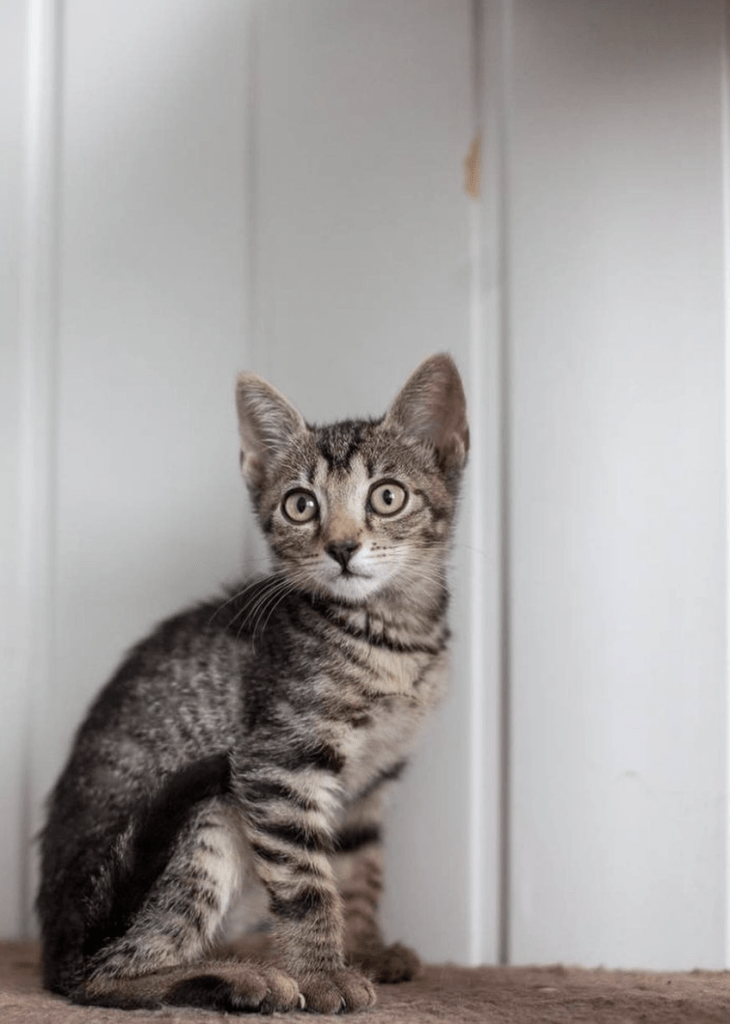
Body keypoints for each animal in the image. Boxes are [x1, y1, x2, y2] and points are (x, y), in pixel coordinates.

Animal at [35, 354, 466, 1015]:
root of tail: (55, 945)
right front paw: (325, 975)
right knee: (99, 977)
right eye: (300, 505)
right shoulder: (276, 765)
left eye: (387, 496)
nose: (342, 547)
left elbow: (359, 869)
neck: (392, 637)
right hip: (201, 819)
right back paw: (244, 978)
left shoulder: (371, 780)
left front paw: (366, 948)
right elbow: (309, 885)